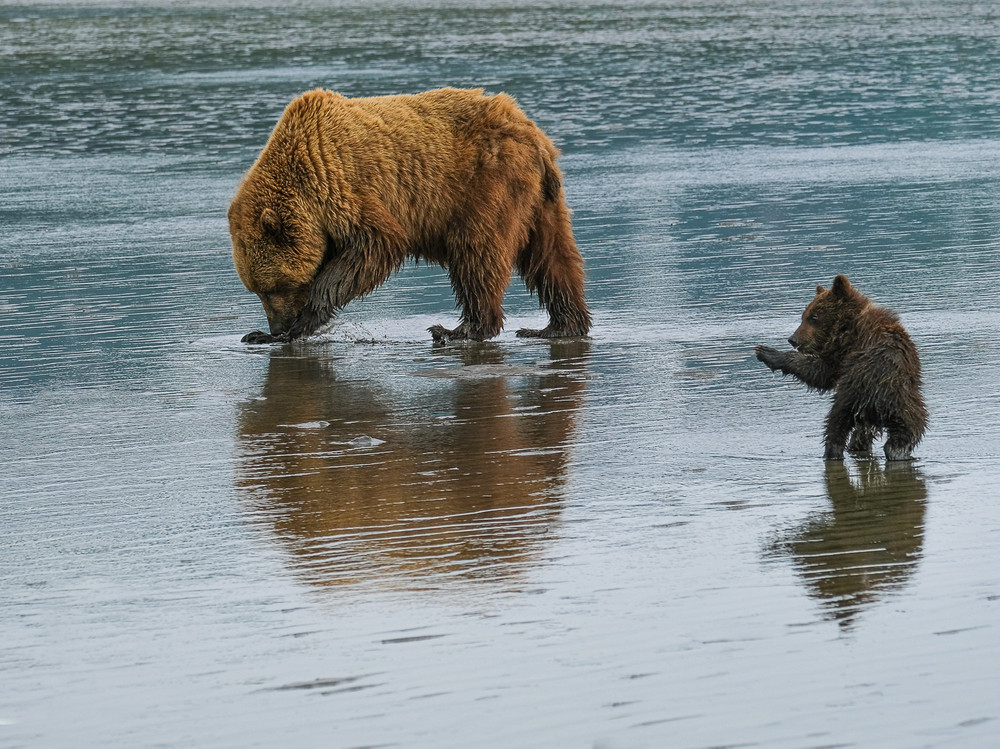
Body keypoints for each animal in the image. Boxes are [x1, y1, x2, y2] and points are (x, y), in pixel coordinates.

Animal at [227, 87, 592, 344]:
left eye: (273, 287)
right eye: (256, 290)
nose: (278, 325)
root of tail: (534, 134)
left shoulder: (342, 186)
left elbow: (378, 243)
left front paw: (302, 321)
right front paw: (260, 334)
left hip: (486, 183)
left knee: (477, 251)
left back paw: (457, 330)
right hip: (541, 201)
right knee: (552, 257)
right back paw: (559, 326)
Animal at [755, 274, 927, 461]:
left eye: (814, 317)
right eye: (804, 315)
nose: (793, 339)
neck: (847, 324)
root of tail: (882, 402)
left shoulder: (844, 351)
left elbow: (821, 373)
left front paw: (768, 353)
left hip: (853, 394)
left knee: (836, 424)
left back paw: (832, 452)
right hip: (909, 405)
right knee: (903, 433)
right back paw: (892, 451)